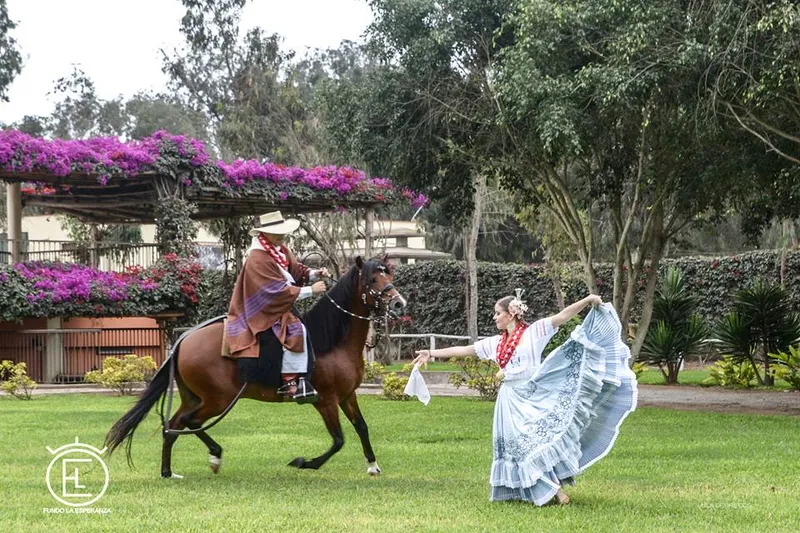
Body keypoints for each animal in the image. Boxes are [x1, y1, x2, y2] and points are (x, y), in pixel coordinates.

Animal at [104, 256, 406, 476]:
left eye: (389, 275)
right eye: (374, 279)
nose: (399, 303)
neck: (331, 340)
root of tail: (184, 340)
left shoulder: (347, 395)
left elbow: (361, 427)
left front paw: (373, 465)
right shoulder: (326, 401)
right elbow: (338, 440)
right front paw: (303, 462)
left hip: (196, 397)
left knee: (174, 425)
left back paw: (168, 471)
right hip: (218, 399)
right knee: (189, 422)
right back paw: (214, 455)